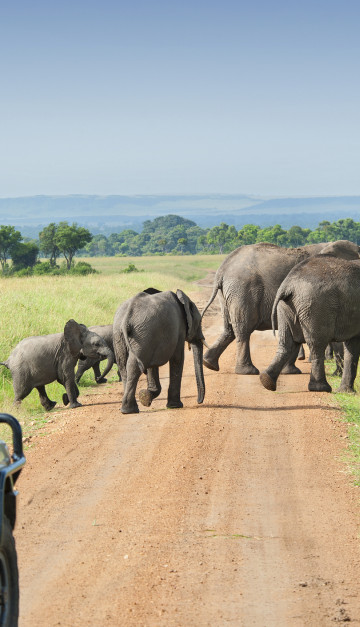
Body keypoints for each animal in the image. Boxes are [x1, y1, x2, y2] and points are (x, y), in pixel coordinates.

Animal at [201, 240, 358, 376]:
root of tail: (222, 269)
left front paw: (290, 371)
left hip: (228, 293)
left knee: (229, 329)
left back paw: (209, 363)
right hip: (243, 290)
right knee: (243, 329)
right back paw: (248, 371)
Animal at [258, 255, 360, 392]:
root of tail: (288, 284)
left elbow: (352, 345)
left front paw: (347, 392)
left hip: (286, 306)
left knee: (287, 343)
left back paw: (266, 380)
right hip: (316, 306)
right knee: (317, 345)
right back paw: (321, 388)